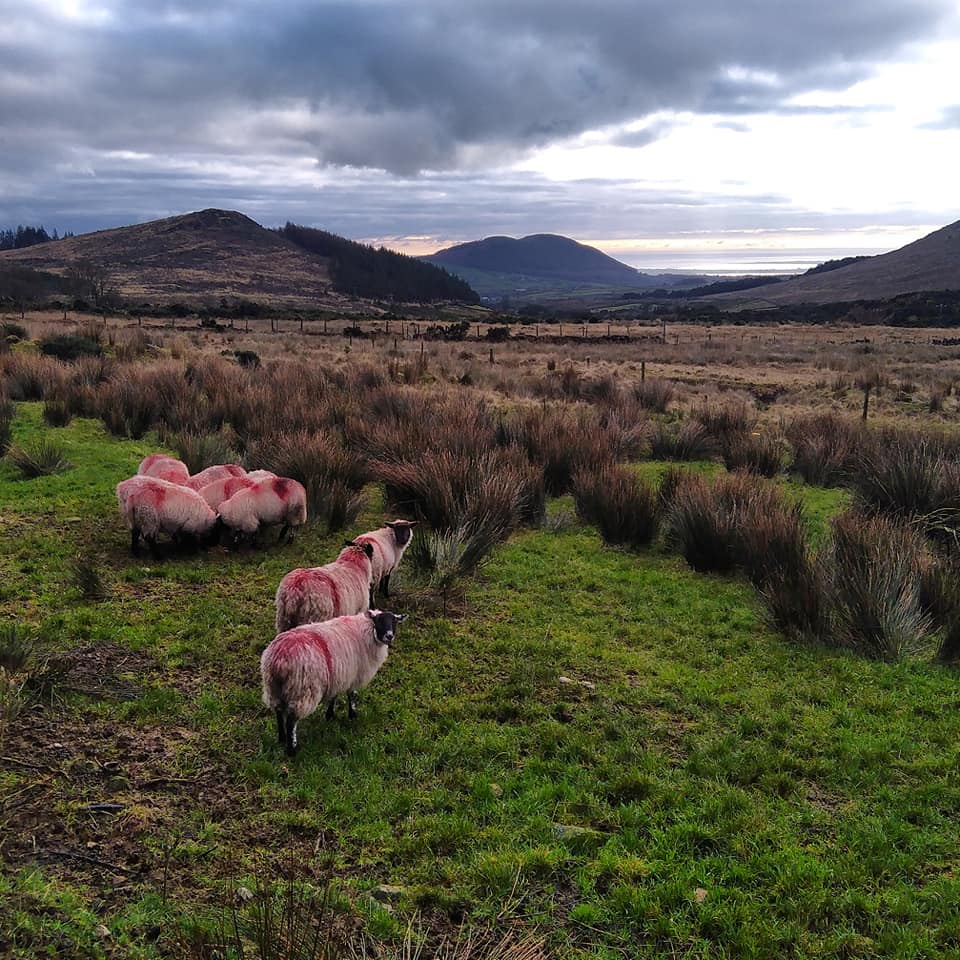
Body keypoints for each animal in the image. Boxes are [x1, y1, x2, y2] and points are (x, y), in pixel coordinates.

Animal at [261, 609, 407, 755]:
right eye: (379, 621)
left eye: (394, 621)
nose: (389, 636)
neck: (369, 632)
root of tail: (279, 660)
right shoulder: (353, 676)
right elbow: (351, 696)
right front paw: (352, 715)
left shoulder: (337, 677)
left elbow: (333, 697)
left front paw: (330, 716)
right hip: (302, 690)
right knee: (291, 721)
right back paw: (292, 750)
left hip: (274, 688)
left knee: (279, 713)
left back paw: (281, 738)